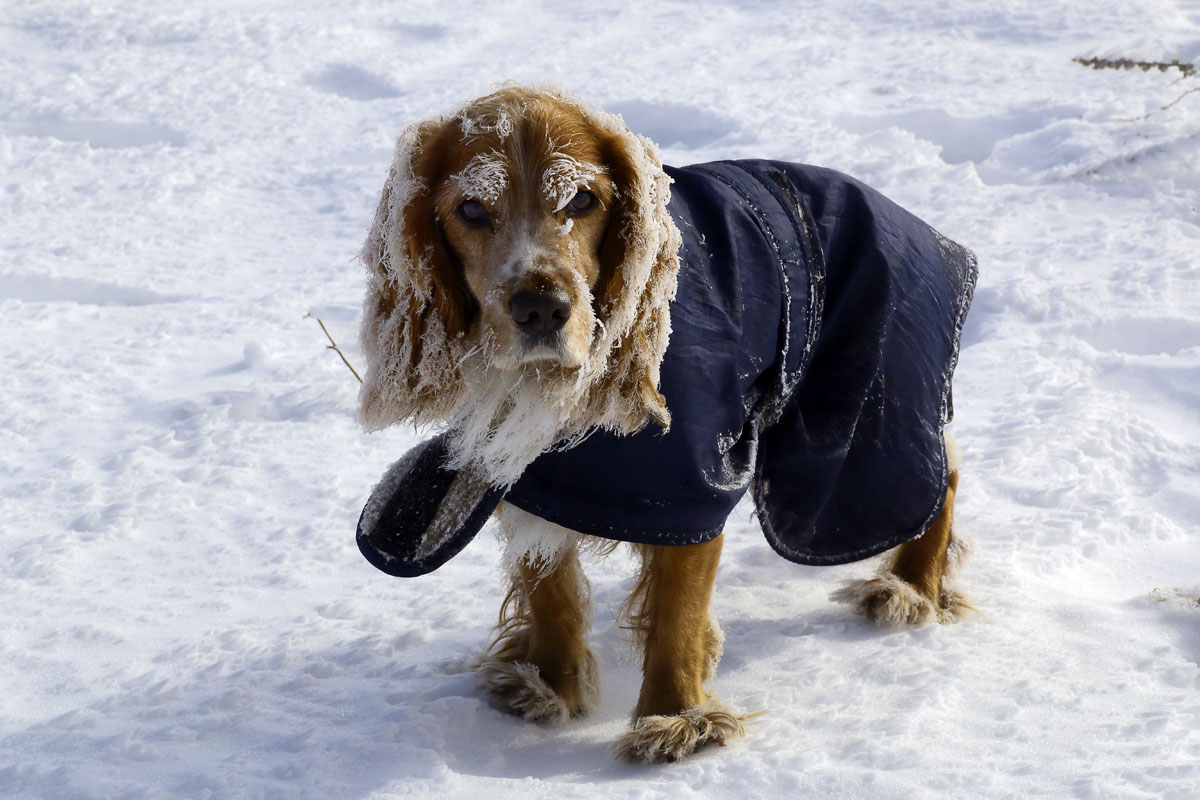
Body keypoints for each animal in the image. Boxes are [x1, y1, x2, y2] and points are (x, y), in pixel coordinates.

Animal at [352, 86, 974, 762]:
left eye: (582, 200)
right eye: (469, 208)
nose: (542, 307)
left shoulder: (690, 487)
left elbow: (677, 609)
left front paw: (677, 721)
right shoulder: (526, 470)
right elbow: (548, 584)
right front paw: (548, 685)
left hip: (860, 414)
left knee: (936, 472)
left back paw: (912, 589)